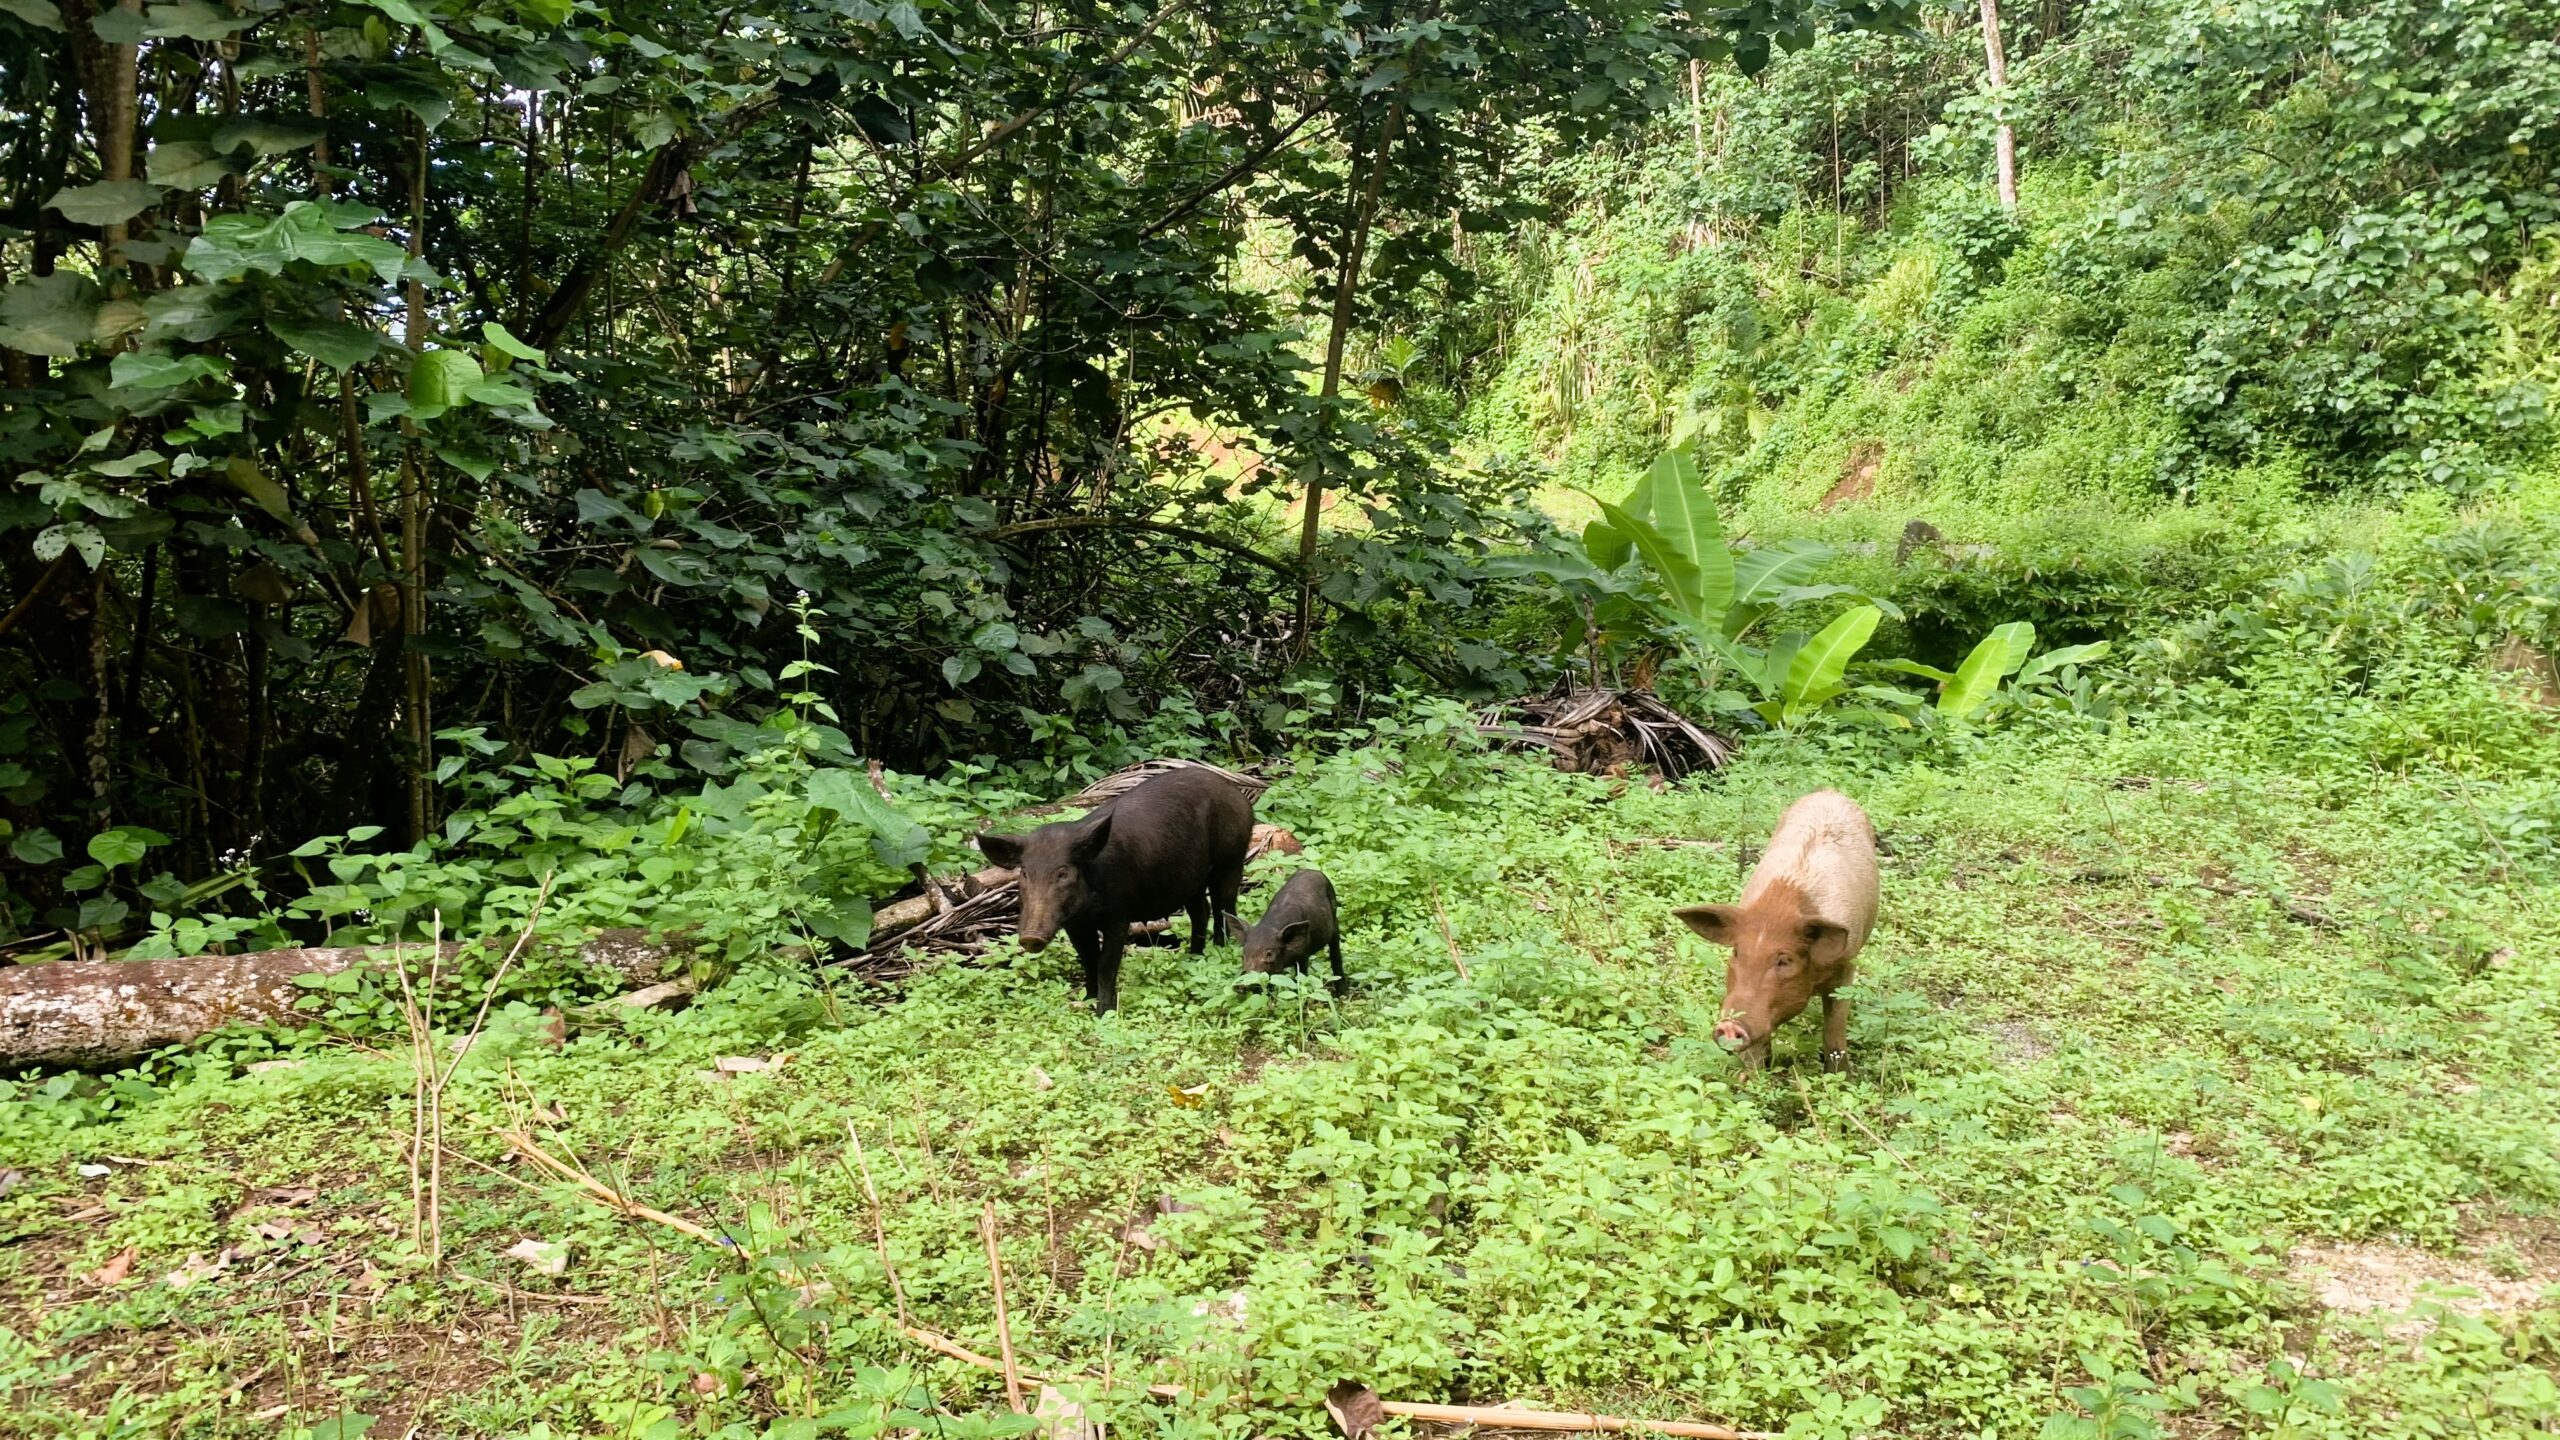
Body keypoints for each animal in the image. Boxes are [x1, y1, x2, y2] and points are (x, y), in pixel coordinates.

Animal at [976, 767, 1253, 1015]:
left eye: (1063, 873)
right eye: (1024, 873)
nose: (1030, 937)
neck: (1088, 909)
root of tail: (1236, 792)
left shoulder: (1119, 917)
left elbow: (1106, 965)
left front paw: (1104, 1013)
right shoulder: (1075, 925)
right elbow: (1088, 960)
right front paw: (1086, 1002)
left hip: (1232, 856)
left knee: (1224, 906)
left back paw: (1219, 951)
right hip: (1191, 879)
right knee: (1201, 911)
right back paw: (1193, 958)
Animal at [1672, 789, 1879, 1074]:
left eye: (1784, 960)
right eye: (1736, 953)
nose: (1729, 1025)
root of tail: (1829, 792)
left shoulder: (1848, 964)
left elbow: (1834, 1030)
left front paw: (1842, 1078)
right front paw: (1752, 1077)